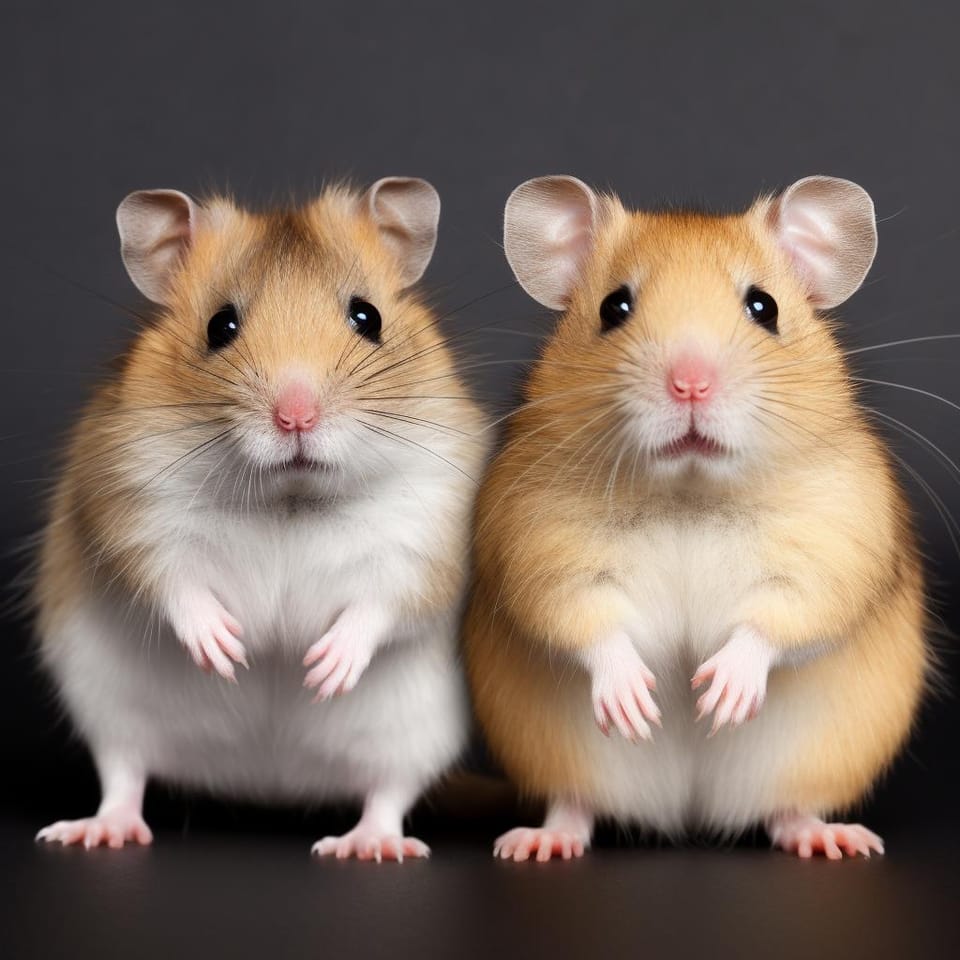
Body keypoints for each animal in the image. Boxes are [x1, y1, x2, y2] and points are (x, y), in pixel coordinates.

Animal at [34, 177, 489, 861]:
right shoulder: (124, 508)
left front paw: (323, 668)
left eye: (368, 318)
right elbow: (173, 584)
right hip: (107, 707)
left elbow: (384, 602)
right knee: (123, 774)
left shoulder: (431, 537)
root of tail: (271, 784)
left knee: (388, 792)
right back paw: (95, 831)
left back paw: (369, 845)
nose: (296, 416)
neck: (288, 499)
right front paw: (228, 649)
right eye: (220, 326)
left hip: (415, 736)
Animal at [465, 174, 928, 861]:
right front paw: (634, 702)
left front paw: (720, 695)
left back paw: (830, 839)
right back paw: (540, 844)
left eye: (764, 307)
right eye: (614, 308)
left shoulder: (837, 544)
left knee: (789, 810)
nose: (690, 385)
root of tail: (687, 817)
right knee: (574, 804)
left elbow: (783, 616)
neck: (689, 496)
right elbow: (584, 618)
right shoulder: (537, 545)